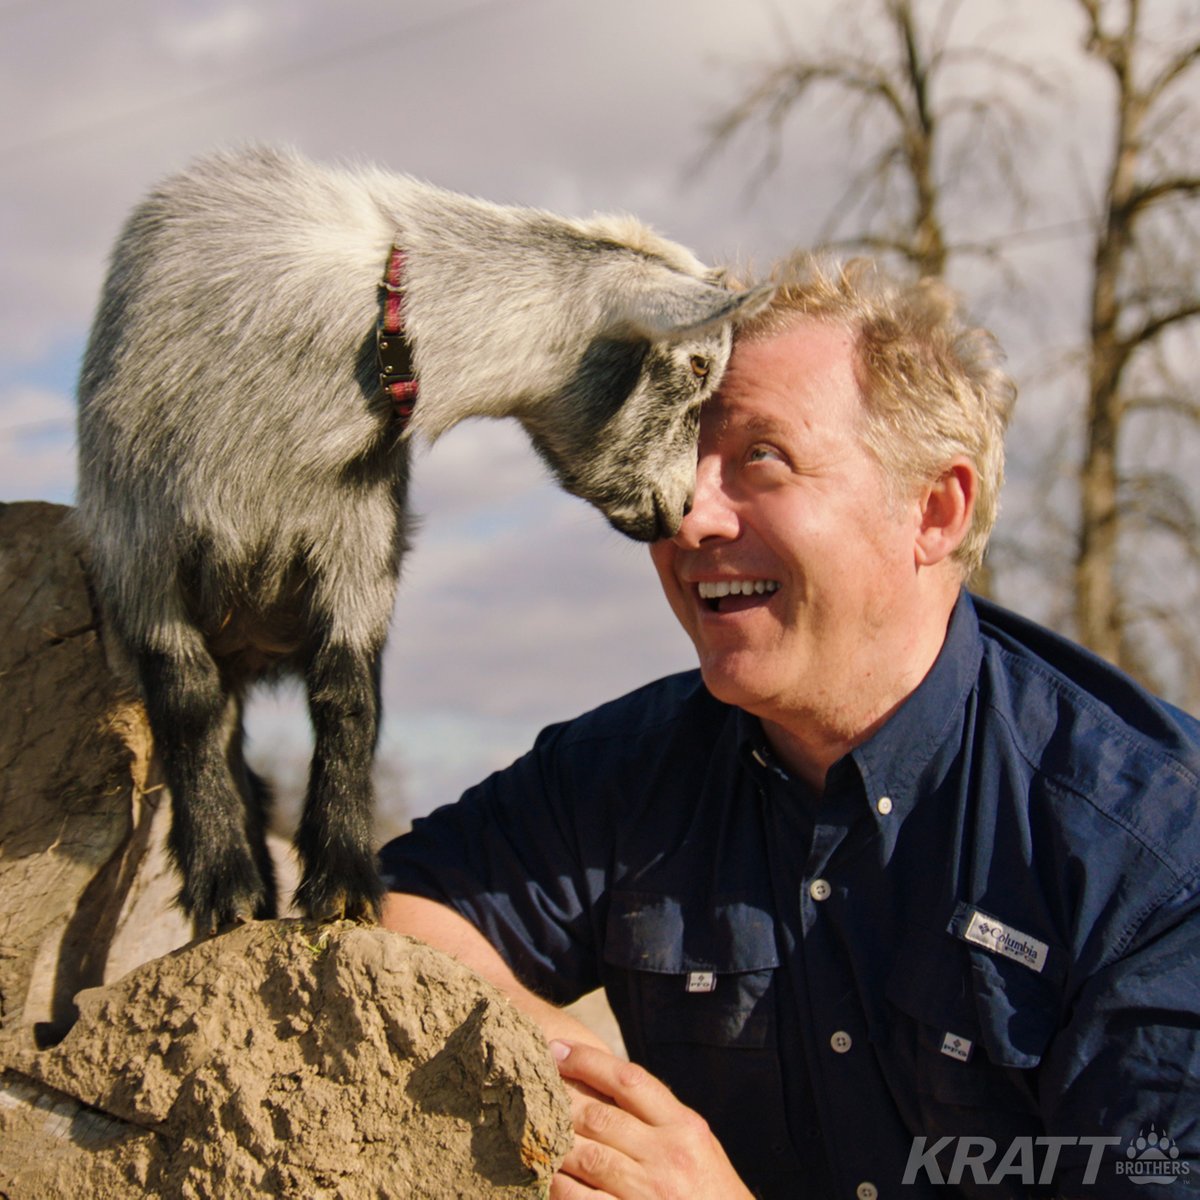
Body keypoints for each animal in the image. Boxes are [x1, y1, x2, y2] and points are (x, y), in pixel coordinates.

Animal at [75, 147, 768, 936]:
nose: (682, 510)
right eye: (697, 367)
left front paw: (343, 882)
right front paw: (227, 890)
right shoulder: (141, 550)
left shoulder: (357, 538)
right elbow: (187, 708)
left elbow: (348, 699)